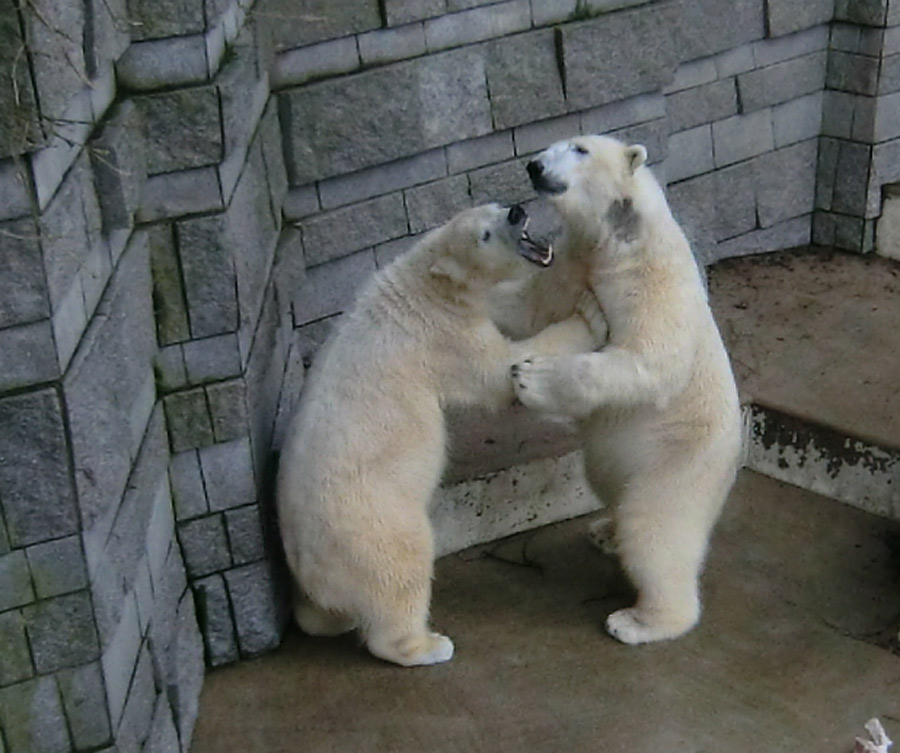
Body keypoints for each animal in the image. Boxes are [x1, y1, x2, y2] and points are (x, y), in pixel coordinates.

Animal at [272, 201, 596, 664]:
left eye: (497, 206)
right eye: (484, 234)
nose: (517, 211)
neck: (424, 281)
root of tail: (306, 564)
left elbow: (520, 312)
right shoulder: (443, 335)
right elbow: (505, 370)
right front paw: (587, 313)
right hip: (371, 522)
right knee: (401, 568)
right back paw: (427, 645)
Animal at [502, 135, 740, 640]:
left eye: (579, 149)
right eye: (552, 145)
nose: (534, 166)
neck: (619, 240)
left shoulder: (651, 283)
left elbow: (647, 364)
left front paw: (532, 377)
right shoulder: (576, 257)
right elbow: (532, 304)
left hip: (676, 469)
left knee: (653, 533)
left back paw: (637, 621)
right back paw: (603, 532)